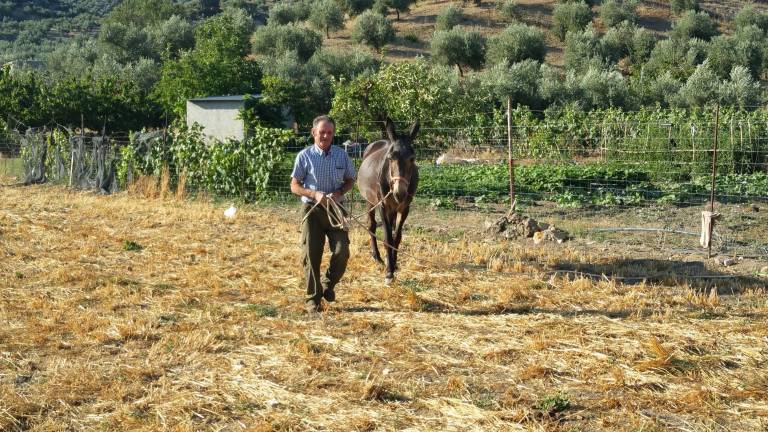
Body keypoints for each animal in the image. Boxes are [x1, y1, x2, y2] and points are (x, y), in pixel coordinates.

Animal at [356, 118, 416, 284]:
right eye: (390, 158)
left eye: (412, 158)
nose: (399, 193)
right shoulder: (382, 206)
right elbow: (388, 238)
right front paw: (389, 272)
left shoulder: (405, 208)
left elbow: (397, 237)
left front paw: (394, 264)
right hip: (370, 202)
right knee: (371, 225)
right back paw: (377, 257)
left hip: (393, 209)